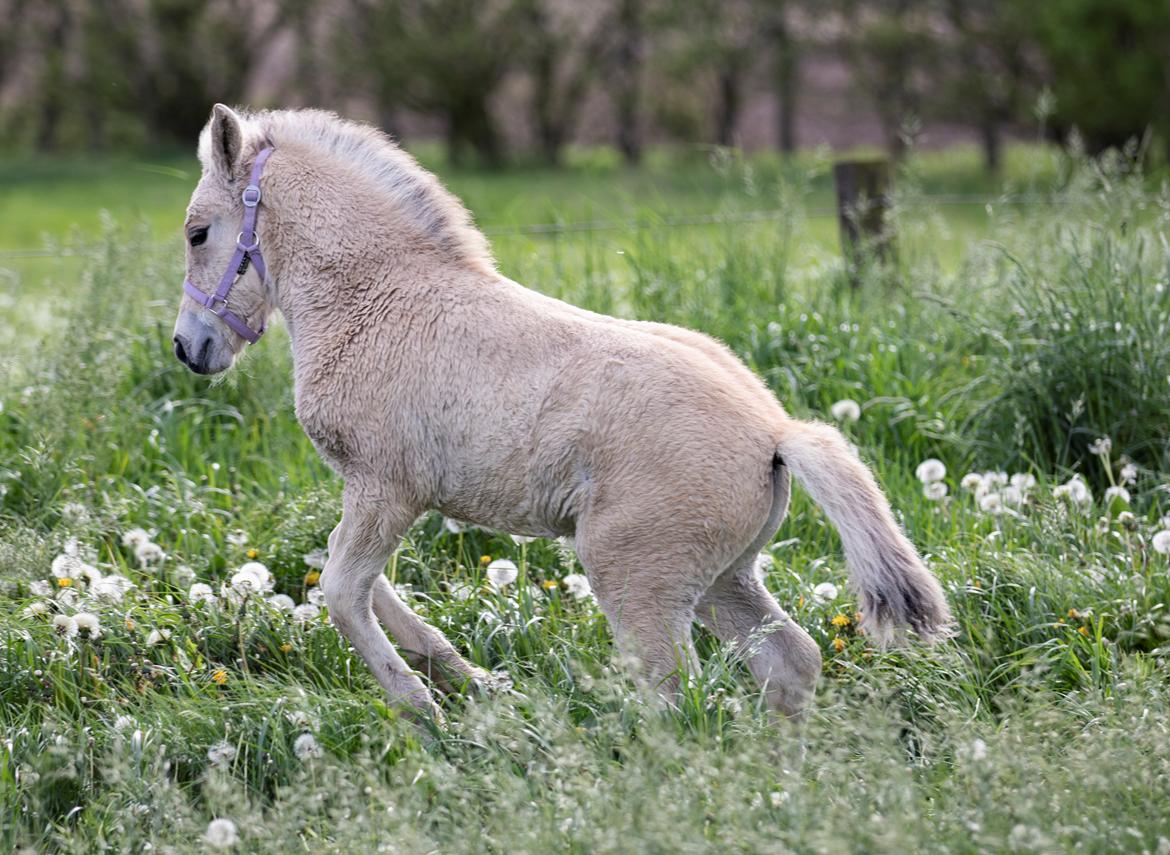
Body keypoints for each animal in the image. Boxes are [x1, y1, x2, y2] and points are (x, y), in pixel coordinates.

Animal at [175, 107, 950, 720]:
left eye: (197, 233)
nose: (190, 347)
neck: (378, 298)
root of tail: (776, 432)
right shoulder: (376, 495)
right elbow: (356, 577)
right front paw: (467, 678)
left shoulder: (386, 488)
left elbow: (341, 591)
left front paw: (422, 705)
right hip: (723, 579)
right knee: (791, 661)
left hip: (635, 579)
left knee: (677, 696)